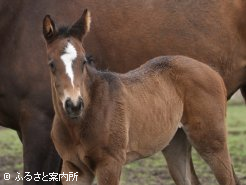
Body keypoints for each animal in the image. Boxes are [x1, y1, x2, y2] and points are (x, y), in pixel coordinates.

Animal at [0, 0, 245, 185]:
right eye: (51, 64)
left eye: (84, 61)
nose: (74, 105)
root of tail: (211, 71)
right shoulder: (74, 167)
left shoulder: (109, 163)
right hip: (175, 143)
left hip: (212, 141)